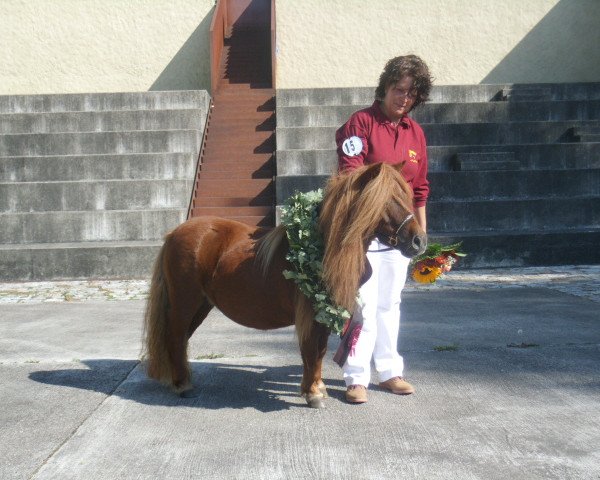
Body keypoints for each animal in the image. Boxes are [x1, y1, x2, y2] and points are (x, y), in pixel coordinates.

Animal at [144, 163, 428, 406]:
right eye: (387, 199)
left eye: (405, 195)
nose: (419, 241)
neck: (321, 244)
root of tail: (174, 233)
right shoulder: (310, 314)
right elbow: (310, 351)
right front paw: (312, 394)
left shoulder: (324, 314)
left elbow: (320, 351)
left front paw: (318, 387)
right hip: (185, 302)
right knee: (176, 336)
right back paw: (183, 385)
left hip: (202, 304)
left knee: (181, 338)